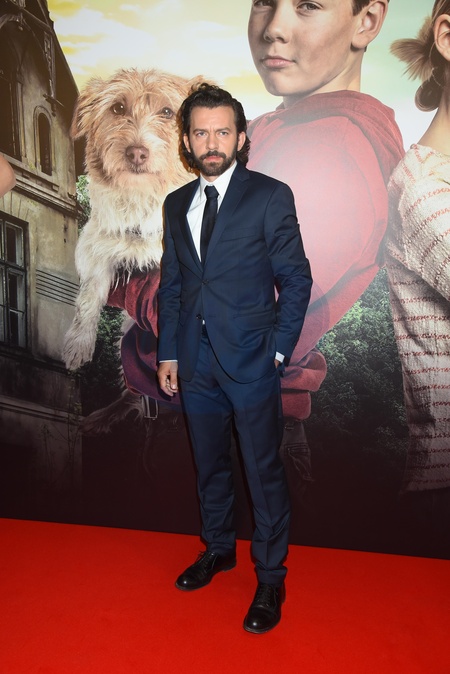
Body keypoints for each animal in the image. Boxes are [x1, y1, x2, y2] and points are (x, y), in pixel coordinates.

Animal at [63, 68, 202, 371]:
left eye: (167, 111)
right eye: (117, 108)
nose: (136, 152)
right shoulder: (97, 248)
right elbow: (89, 297)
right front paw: (78, 345)